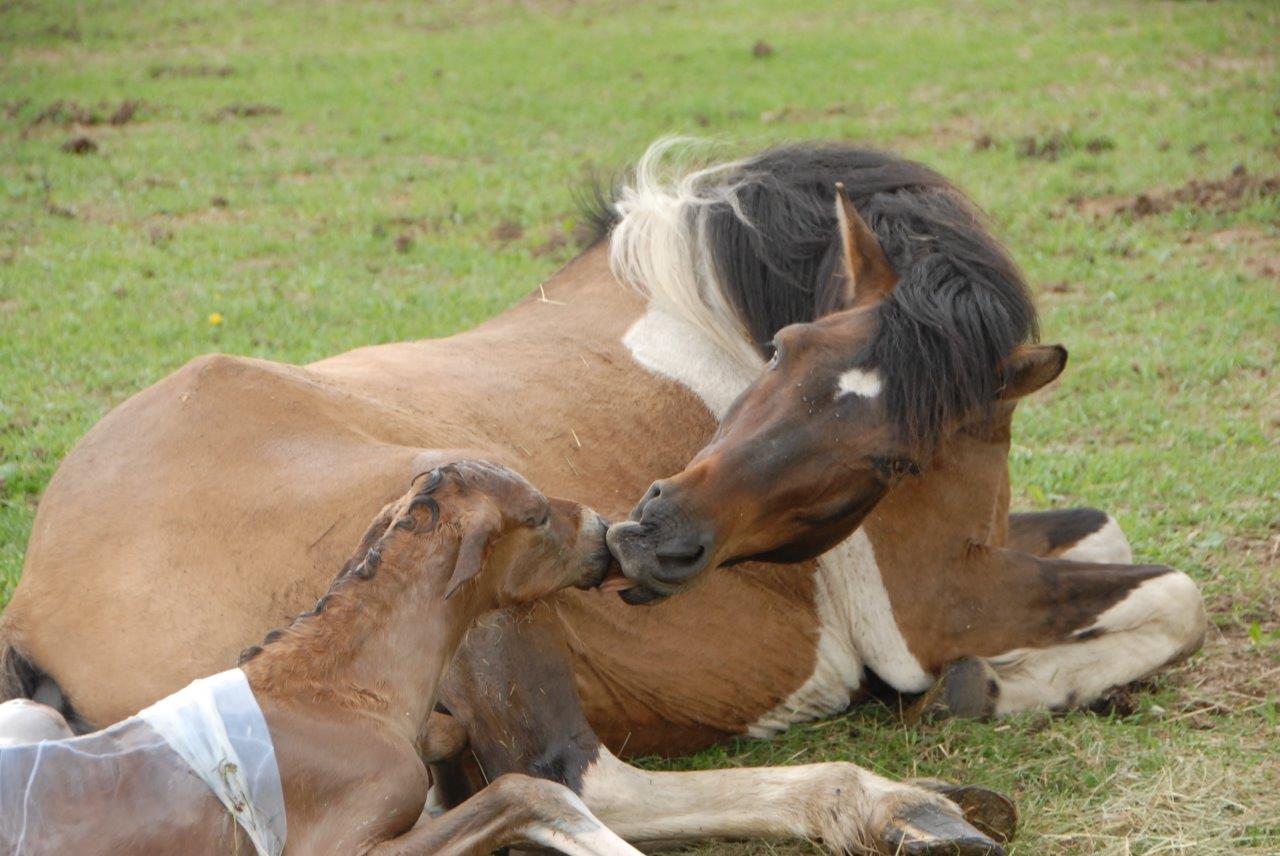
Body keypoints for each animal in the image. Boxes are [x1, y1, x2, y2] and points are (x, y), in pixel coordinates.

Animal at [0, 460, 640, 854]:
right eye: (535, 516)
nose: (604, 528)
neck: (334, 696)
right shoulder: (347, 846)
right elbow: (526, 792)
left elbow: (453, 736)